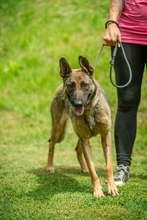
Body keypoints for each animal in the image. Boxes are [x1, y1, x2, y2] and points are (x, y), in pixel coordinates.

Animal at [46, 55, 118, 198]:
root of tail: (59, 86)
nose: (78, 103)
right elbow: (93, 170)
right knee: (51, 145)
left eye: (85, 85)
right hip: (58, 128)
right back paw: (50, 167)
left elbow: (108, 166)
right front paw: (97, 190)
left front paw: (111, 187)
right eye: (71, 86)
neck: (89, 109)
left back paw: (83, 168)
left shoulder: (105, 136)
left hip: (79, 135)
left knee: (77, 149)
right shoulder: (85, 139)